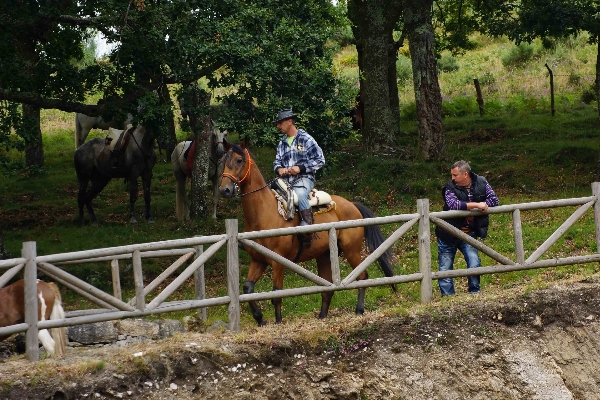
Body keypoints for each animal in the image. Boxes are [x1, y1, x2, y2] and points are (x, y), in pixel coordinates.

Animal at [218, 141, 396, 324]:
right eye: (223, 161)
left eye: (239, 160)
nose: (225, 189)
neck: (264, 213)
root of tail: (352, 205)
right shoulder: (258, 260)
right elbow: (248, 289)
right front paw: (260, 319)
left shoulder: (278, 262)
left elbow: (276, 294)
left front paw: (278, 321)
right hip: (325, 255)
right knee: (328, 287)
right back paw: (322, 316)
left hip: (351, 250)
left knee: (362, 277)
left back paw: (359, 310)